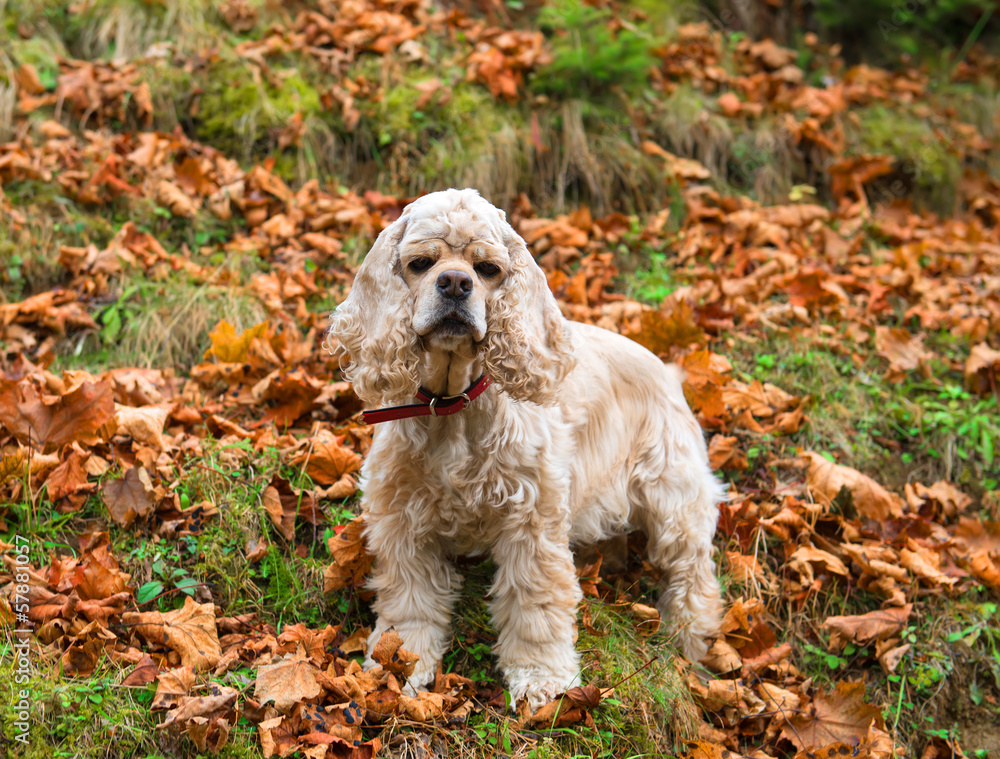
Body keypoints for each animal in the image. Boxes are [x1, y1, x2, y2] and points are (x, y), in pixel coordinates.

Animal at [330, 187, 728, 708]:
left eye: (487, 269)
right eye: (420, 263)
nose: (455, 283)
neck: (452, 406)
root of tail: (668, 370)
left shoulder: (532, 518)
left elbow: (534, 601)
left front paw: (543, 681)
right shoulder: (403, 519)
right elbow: (409, 602)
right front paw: (400, 669)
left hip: (673, 496)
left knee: (692, 572)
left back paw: (691, 640)